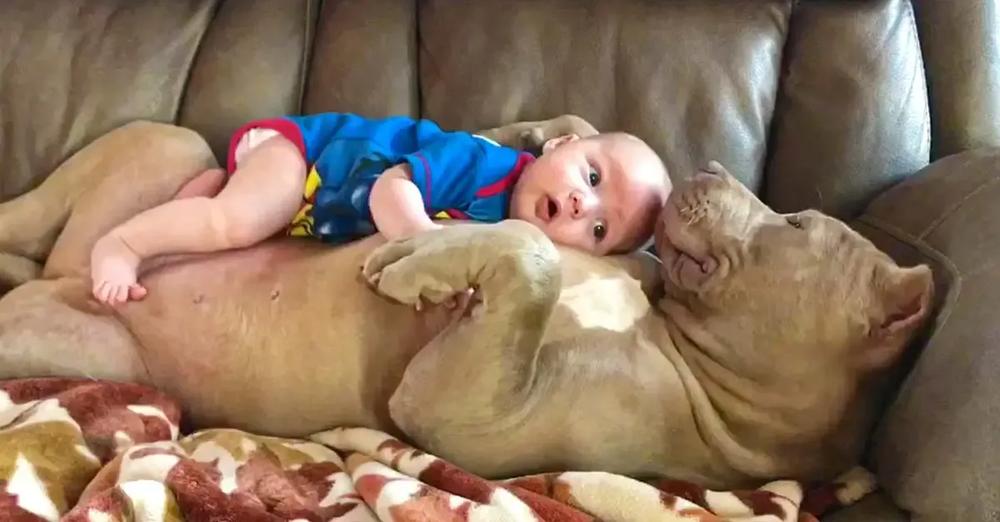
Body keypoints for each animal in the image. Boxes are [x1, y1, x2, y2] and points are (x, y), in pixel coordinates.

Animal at [0, 116, 932, 486]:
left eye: (798, 221)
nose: (705, 167)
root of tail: (70, 276)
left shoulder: (457, 412)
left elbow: (533, 259)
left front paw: (421, 255)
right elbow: (527, 232)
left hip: (77, 339)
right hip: (160, 150)